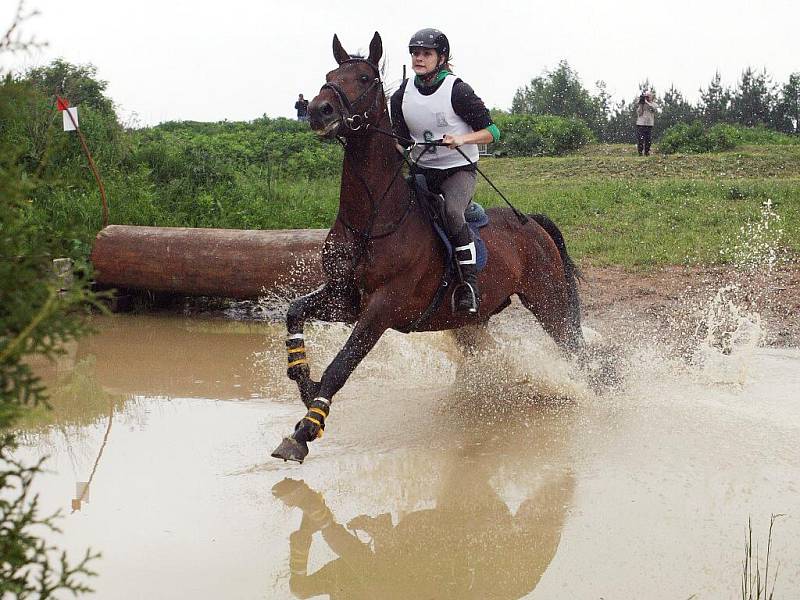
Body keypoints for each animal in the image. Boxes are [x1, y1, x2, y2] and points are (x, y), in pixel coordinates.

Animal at [272, 31, 584, 464]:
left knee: (577, 349)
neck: (373, 218)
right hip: (475, 319)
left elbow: (342, 365)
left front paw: (305, 429)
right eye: (330, 76)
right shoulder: (343, 297)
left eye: (365, 78)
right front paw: (304, 382)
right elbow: (295, 312)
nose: (319, 110)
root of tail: (531, 222)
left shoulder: (383, 307)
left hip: (548, 300)